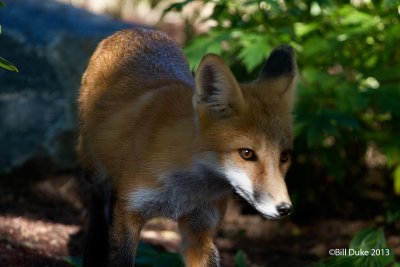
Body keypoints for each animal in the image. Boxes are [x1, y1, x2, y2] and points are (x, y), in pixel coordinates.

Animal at [79, 28, 296, 266]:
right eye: (247, 153)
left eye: (285, 156)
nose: (284, 208)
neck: (184, 191)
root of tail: (136, 30)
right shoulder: (128, 213)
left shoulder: (200, 228)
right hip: (96, 175)